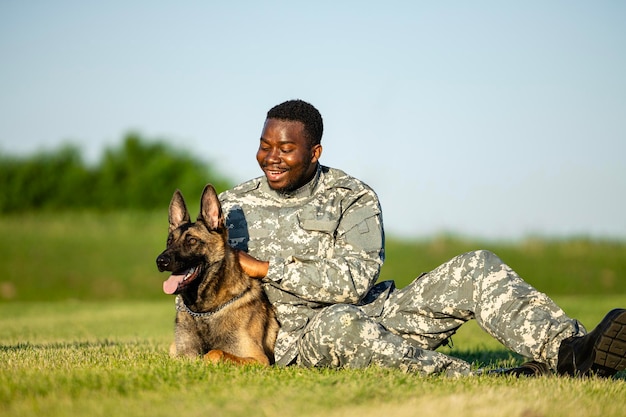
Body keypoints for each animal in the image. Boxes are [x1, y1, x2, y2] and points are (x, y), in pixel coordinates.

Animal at [155, 183, 276, 364]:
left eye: (192, 241)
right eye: (169, 241)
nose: (160, 261)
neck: (203, 312)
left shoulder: (258, 359)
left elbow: (215, 352)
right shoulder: (180, 353)